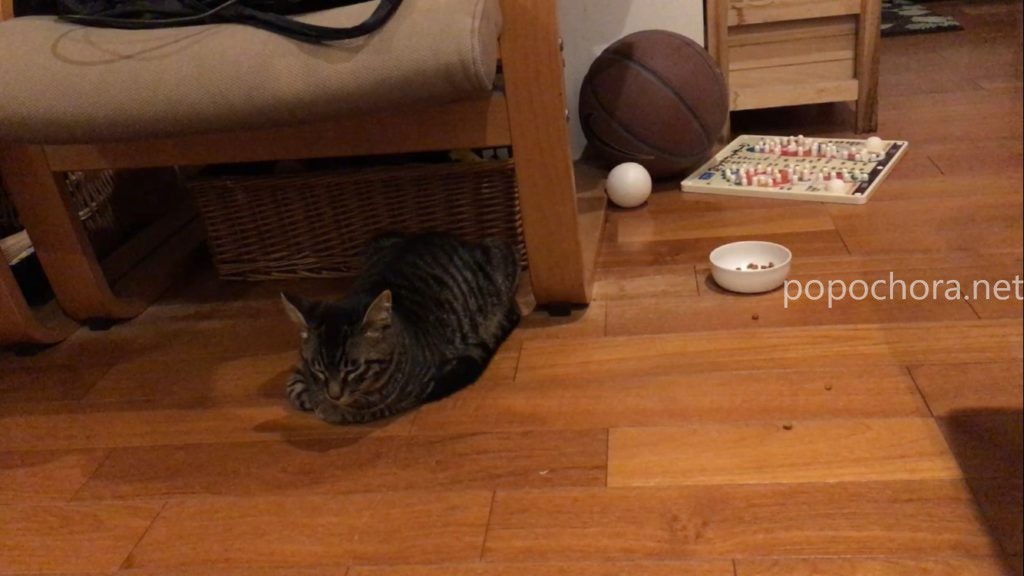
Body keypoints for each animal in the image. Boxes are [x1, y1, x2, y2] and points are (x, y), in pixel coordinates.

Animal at [281, 233, 521, 424]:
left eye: (353, 368)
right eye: (318, 368)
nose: (333, 395)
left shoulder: (410, 390)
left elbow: (367, 405)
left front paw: (327, 406)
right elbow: (293, 385)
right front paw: (308, 392)